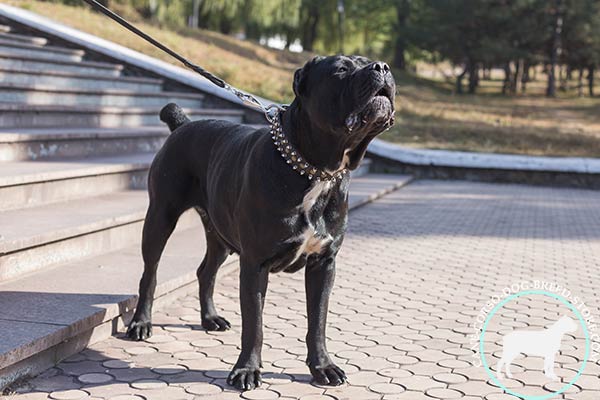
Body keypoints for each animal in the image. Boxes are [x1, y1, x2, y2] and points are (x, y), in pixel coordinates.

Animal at [127, 55, 394, 390]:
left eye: (366, 63)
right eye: (342, 69)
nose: (383, 66)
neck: (316, 171)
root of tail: (184, 124)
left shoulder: (324, 263)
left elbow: (318, 320)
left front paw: (323, 366)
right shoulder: (255, 264)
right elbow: (255, 323)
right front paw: (246, 370)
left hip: (219, 233)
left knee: (206, 271)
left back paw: (210, 318)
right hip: (161, 216)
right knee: (149, 273)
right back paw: (141, 322)